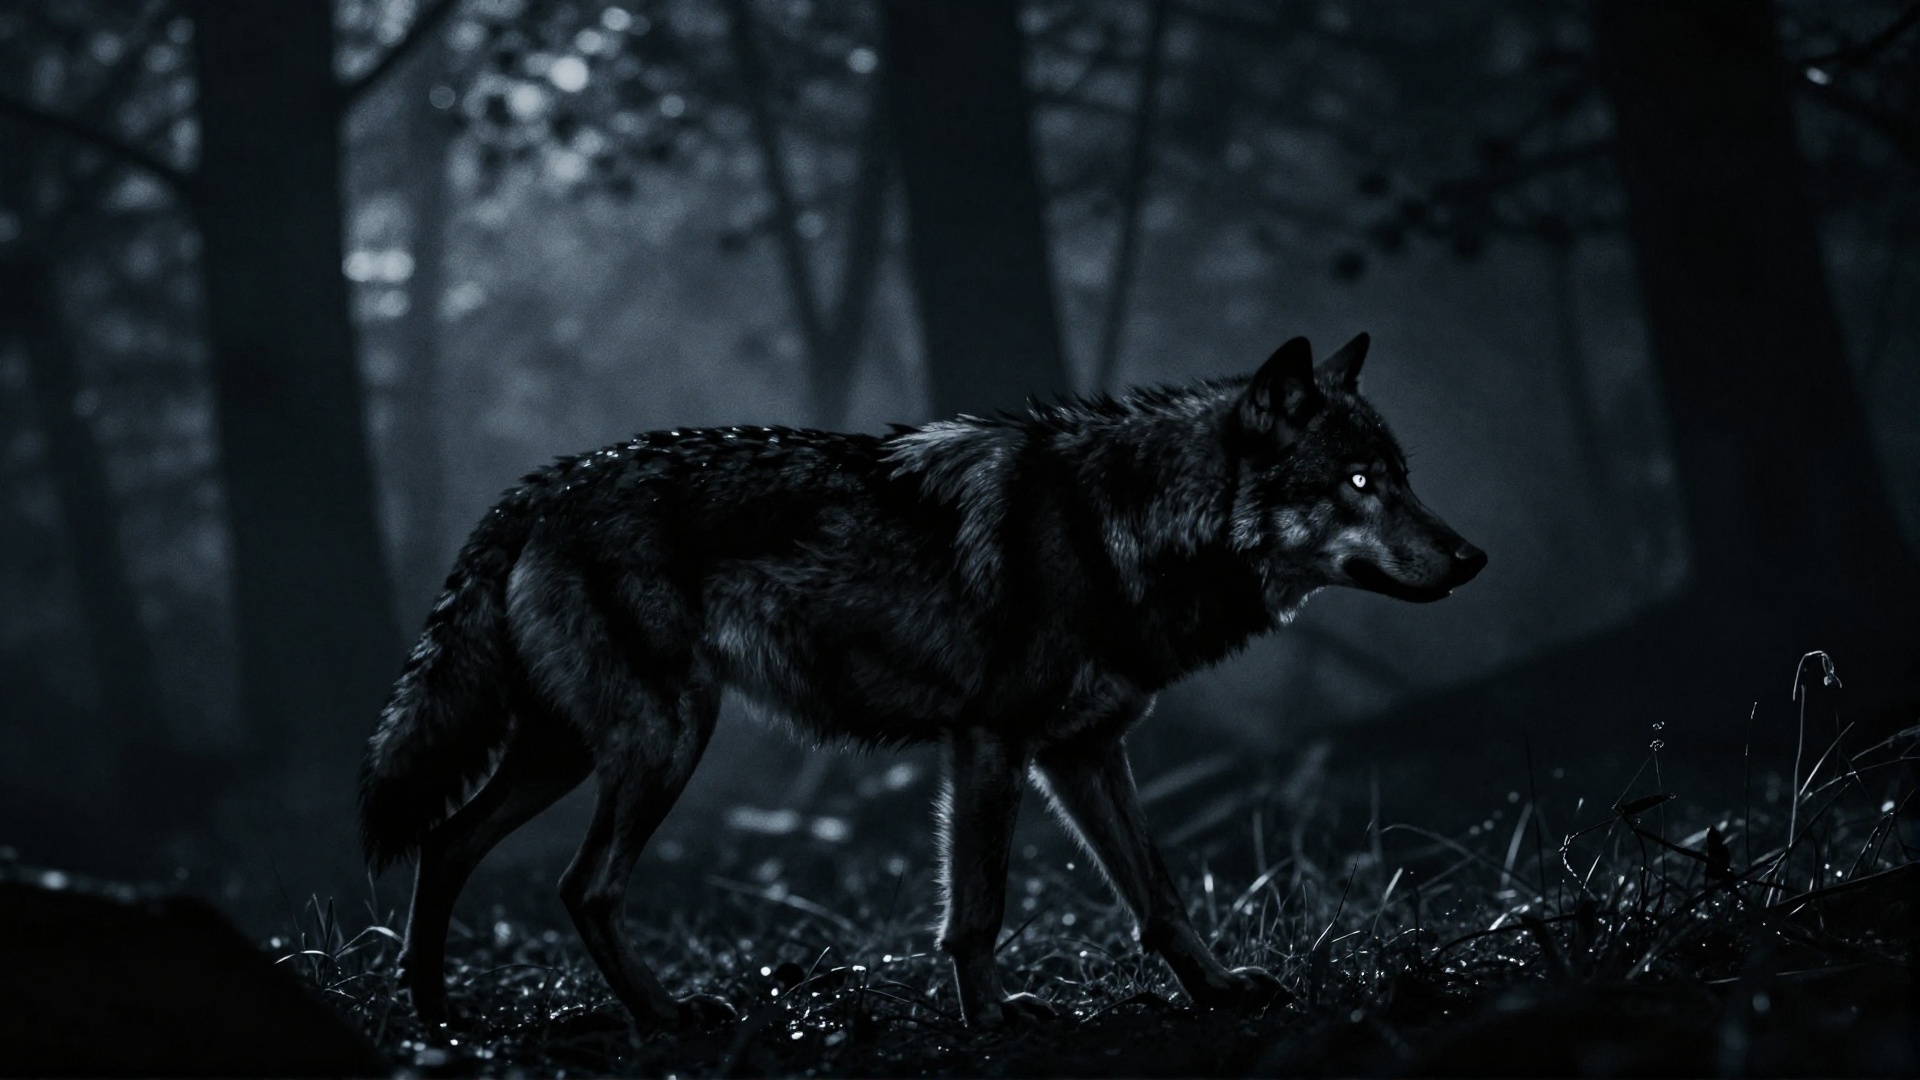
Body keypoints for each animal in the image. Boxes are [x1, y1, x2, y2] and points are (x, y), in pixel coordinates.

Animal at [358, 333, 1485, 1032]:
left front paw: (1216, 990)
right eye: (1357, 482)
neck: (1117, 528)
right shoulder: (992, 744)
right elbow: (979, 907)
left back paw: (437, 1015)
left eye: (1405, 476)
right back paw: (667, 1017)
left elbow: (1157, 891)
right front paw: (992, 1017)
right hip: (663, 739)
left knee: (448, 842)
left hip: (566, 751)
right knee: (580, 885)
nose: (1474, 558)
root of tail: (546, 482)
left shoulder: (1086, 753)